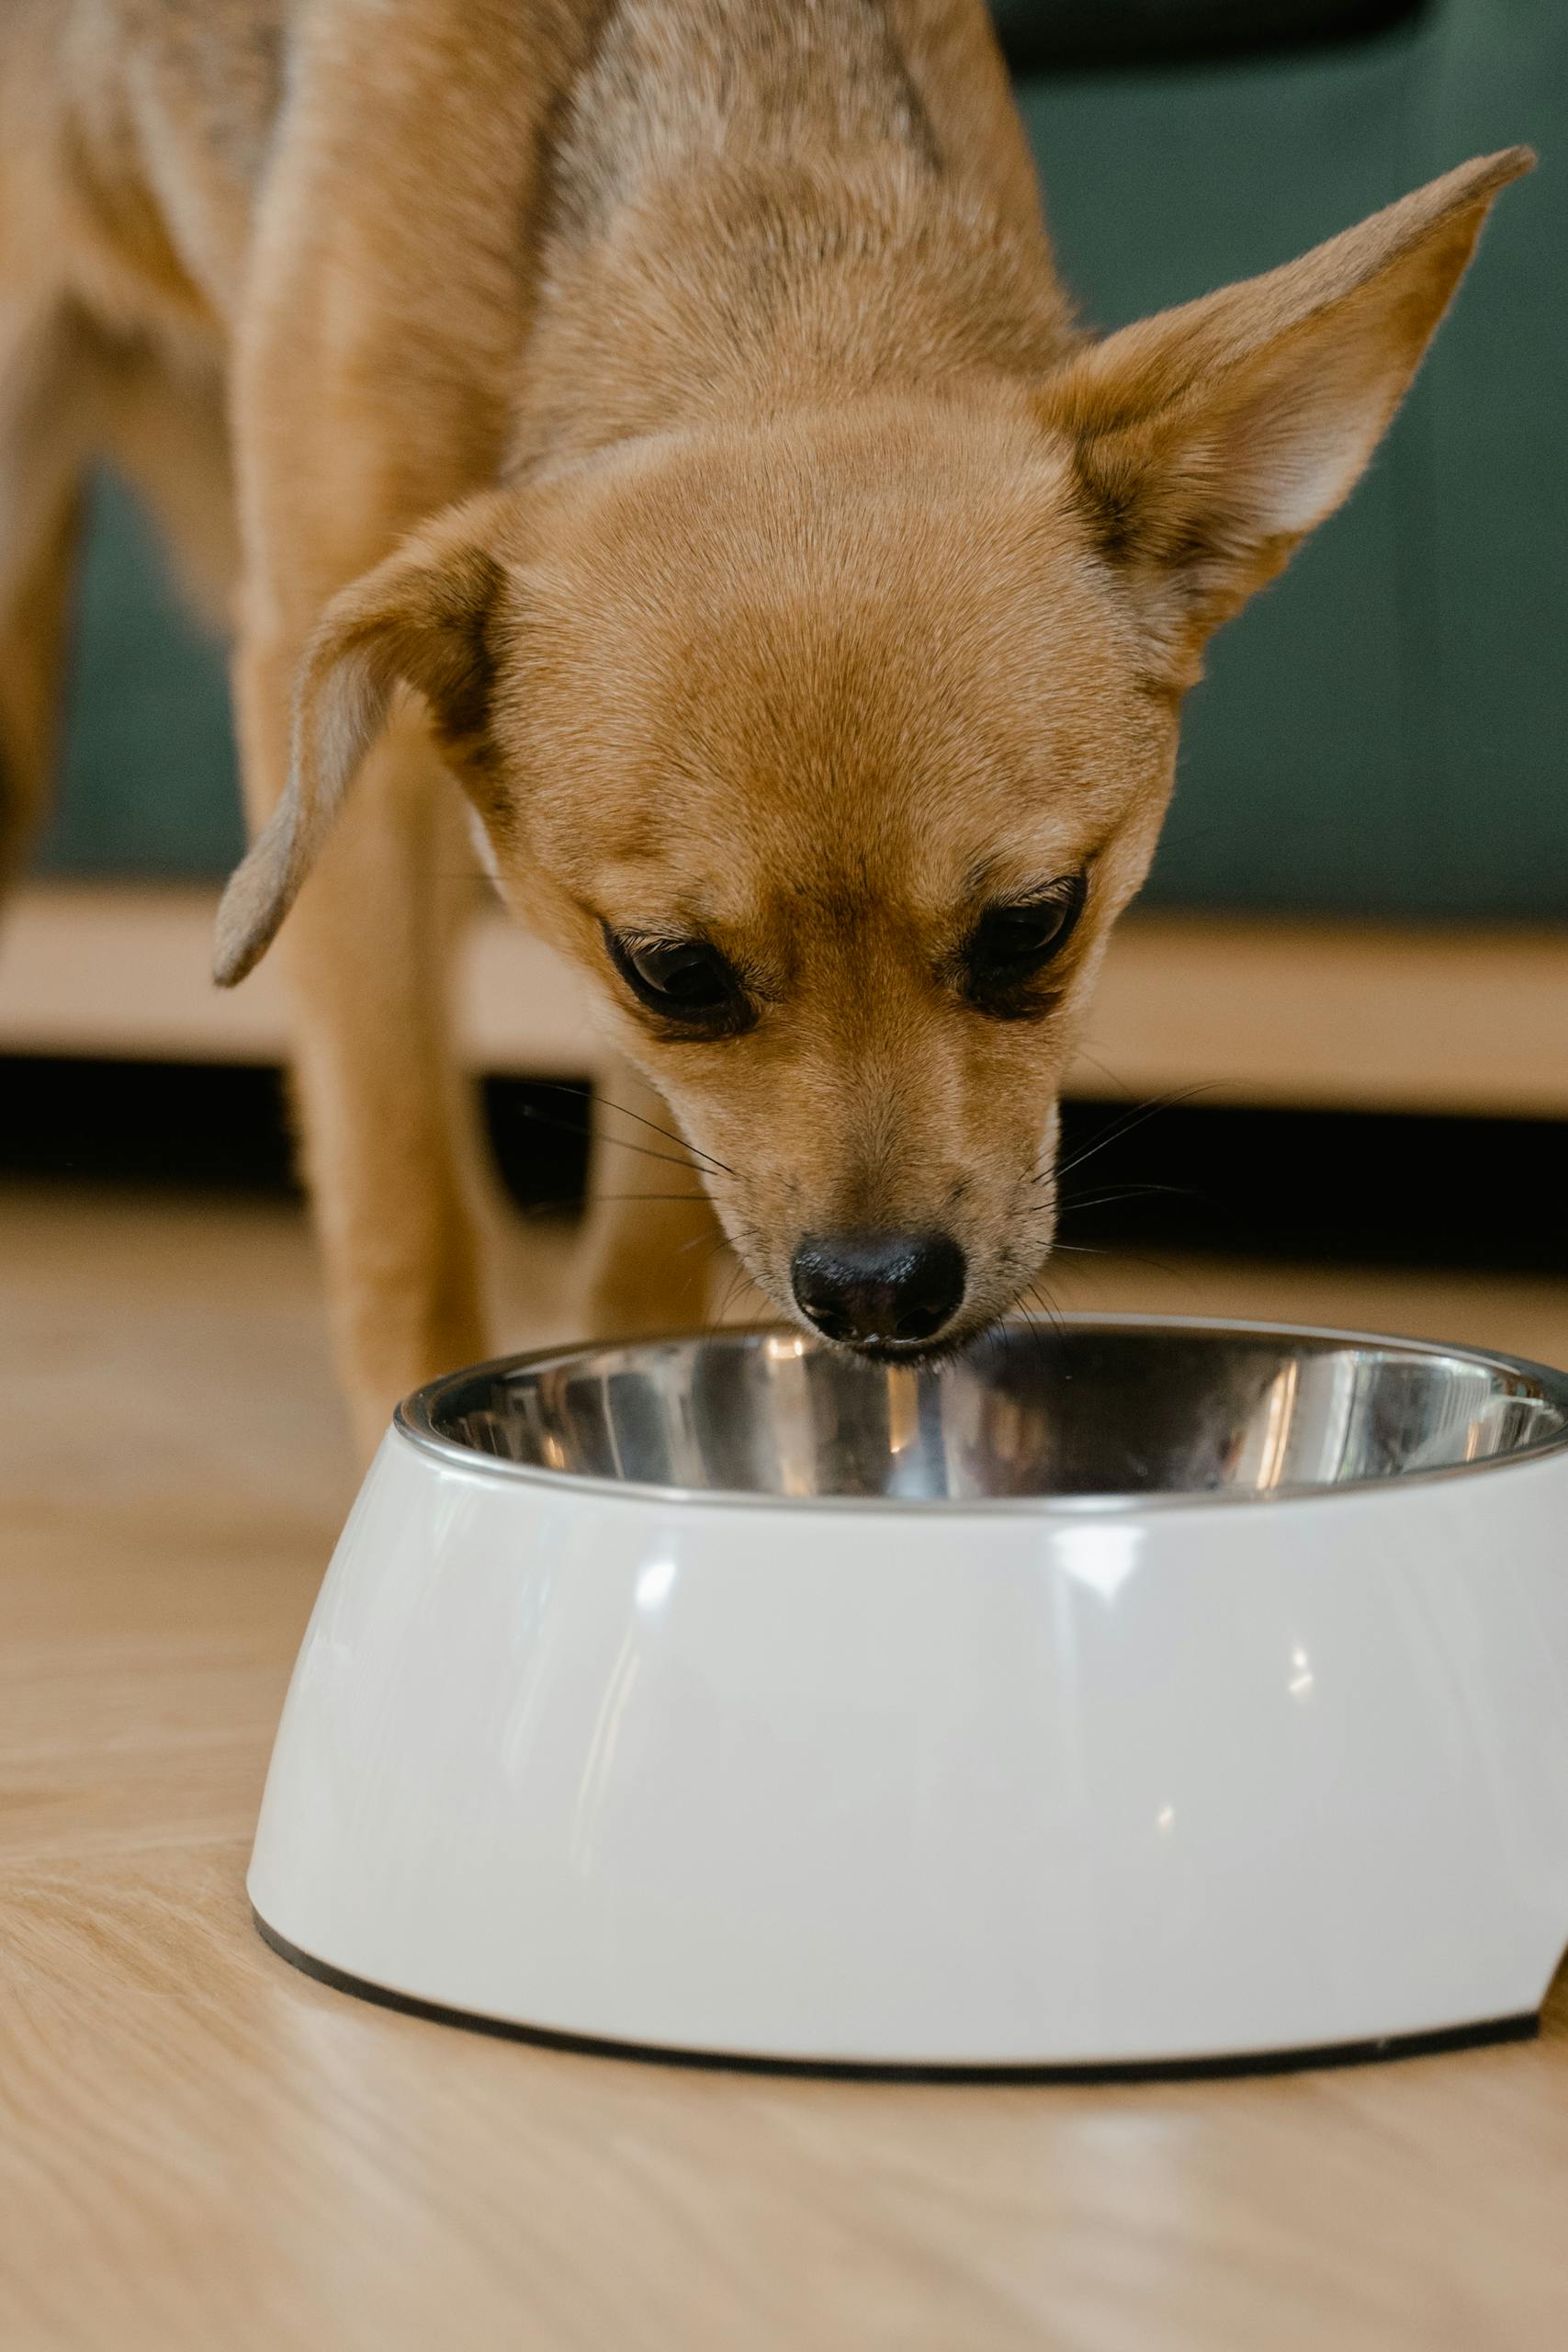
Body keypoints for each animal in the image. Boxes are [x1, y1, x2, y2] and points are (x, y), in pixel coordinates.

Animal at [0, 0, 1523, 1439]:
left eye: (1033, 924)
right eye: (673, 971)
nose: (880, 1291)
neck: (741, 202)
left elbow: (641, 1248)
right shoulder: (347, 768)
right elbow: (399, 1216)